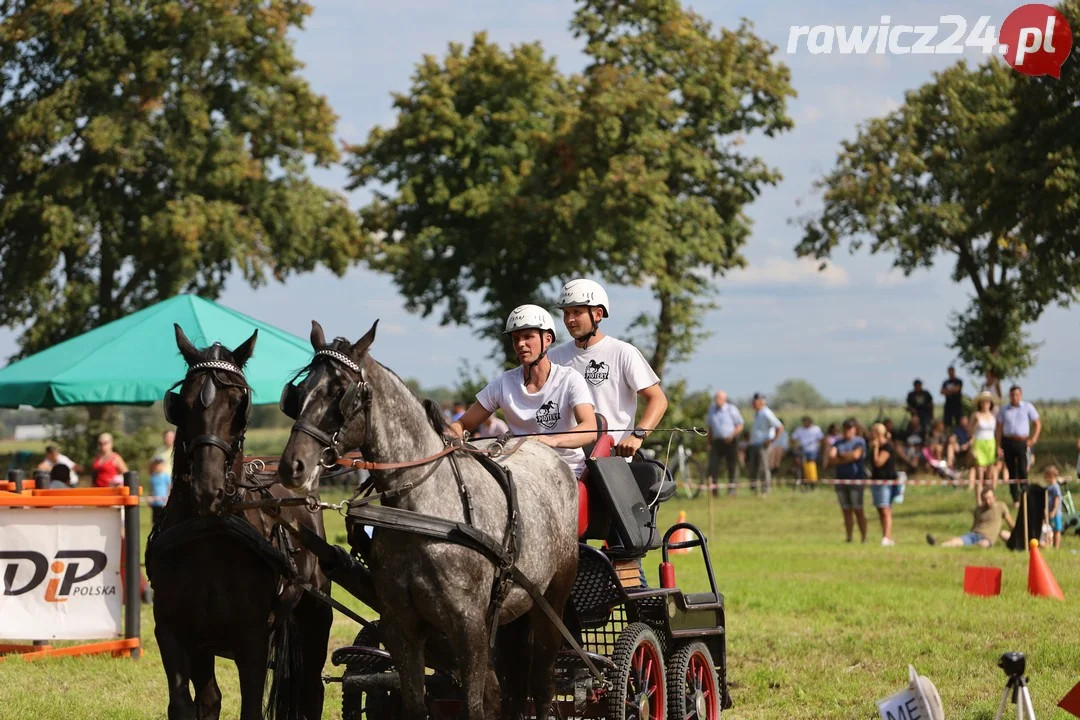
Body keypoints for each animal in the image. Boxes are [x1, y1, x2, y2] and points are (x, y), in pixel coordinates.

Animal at [147, 328, 332, 720]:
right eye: (184, 403)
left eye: (238, 404)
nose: (208, 487)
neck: (208, 537)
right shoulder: (175, 634)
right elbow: (188, 704)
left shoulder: (253, 640)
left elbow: (250, 709)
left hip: (315, 615)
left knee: (312, 691)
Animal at [278, 321, 583, 720]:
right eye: (298, 392)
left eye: (341, 393)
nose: (291, 467)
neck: (420, 513)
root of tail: (548, 453)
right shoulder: (401, 629)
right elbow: (416, 703)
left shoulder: (469, 628)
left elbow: (475, 704)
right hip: (517, 608)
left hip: (552, 602)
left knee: (543, 685)